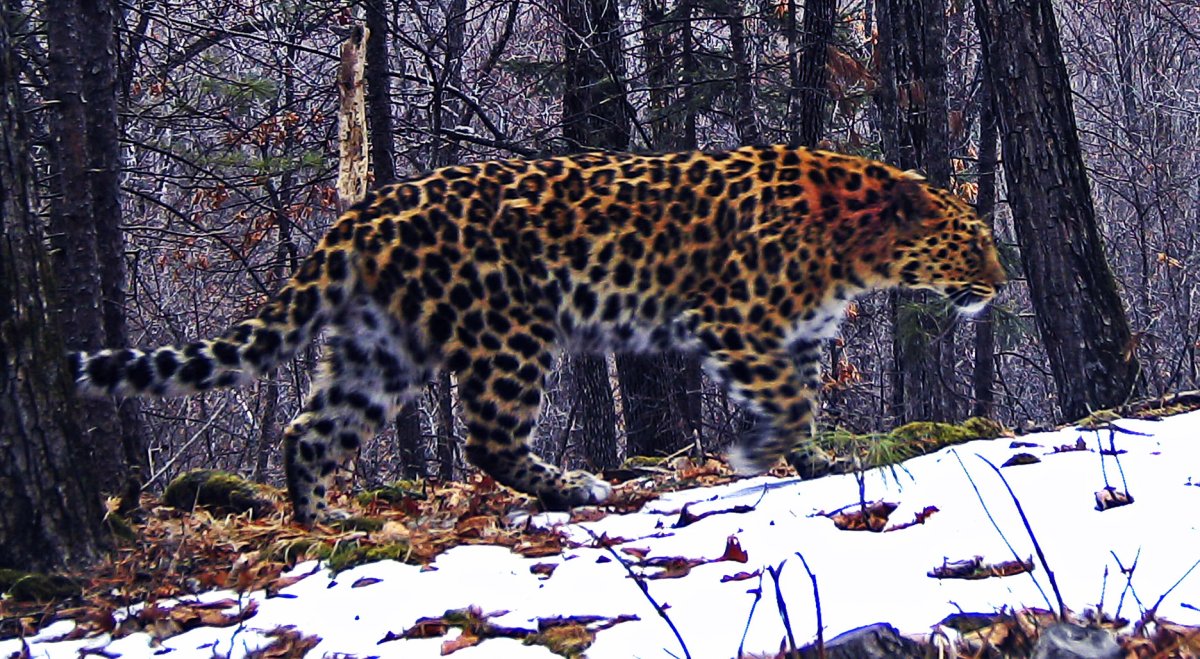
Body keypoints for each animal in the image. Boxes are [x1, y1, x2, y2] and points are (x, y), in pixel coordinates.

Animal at [71, 145, 1006, 526]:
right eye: (971, 240)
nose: (1001, 284)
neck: (858, 250)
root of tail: (364, 210)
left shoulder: (796, 332)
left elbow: (802, 397)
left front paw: (817, 461)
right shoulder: (734, 316)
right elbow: (785, 396)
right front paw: (761, 455)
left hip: (381, 349)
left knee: (310, 427)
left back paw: (322, 518)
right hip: (509, 328)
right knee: (487, 434)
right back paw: (573, 488)